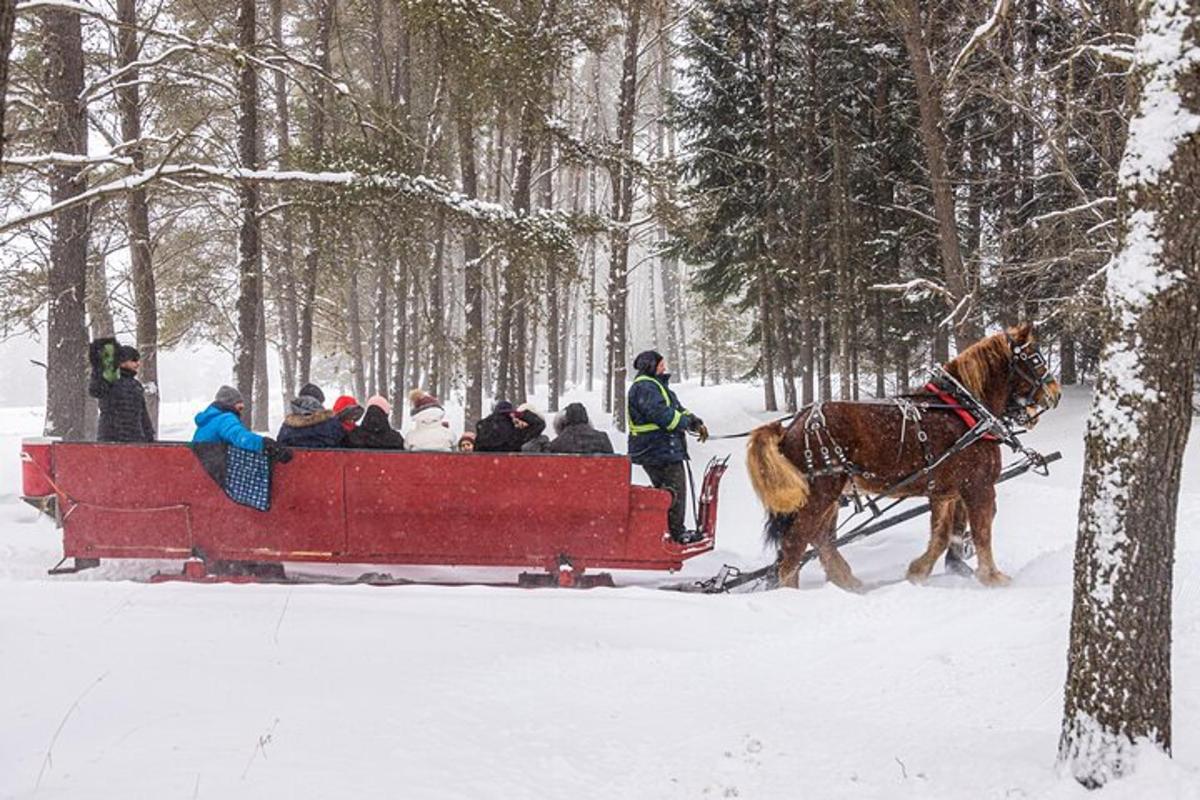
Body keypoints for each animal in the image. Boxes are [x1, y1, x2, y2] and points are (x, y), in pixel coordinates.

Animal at [748, 321, 1060, 592]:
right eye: (1035, 359)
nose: (1055, 393)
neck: (965, 409)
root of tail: (789, 427)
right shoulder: (979, 487)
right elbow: (983, 531)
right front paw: (993, 578)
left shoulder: (944, 492)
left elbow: (942, 535)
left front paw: (918, 572)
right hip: (820, 493)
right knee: (796, 544)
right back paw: (793, 592)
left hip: (831, 496)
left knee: (820, 539)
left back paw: (847, 581)